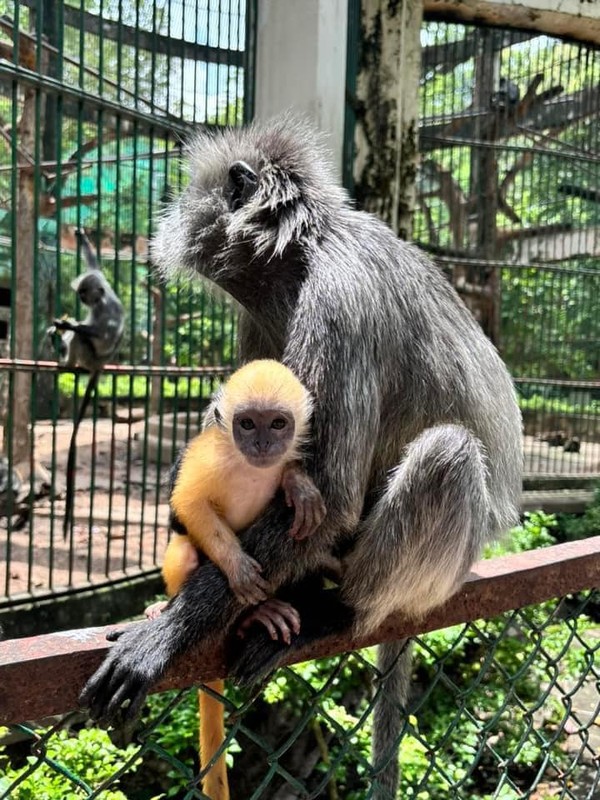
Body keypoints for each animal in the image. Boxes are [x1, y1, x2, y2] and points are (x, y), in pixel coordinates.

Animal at [150, 358, 328, 800]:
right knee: (185, 547)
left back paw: (261, 613)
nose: (262, 443)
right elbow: (187, 505)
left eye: (278, 424)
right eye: (246, 424)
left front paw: (296, 482)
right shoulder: (209, 454)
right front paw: (238, 568)